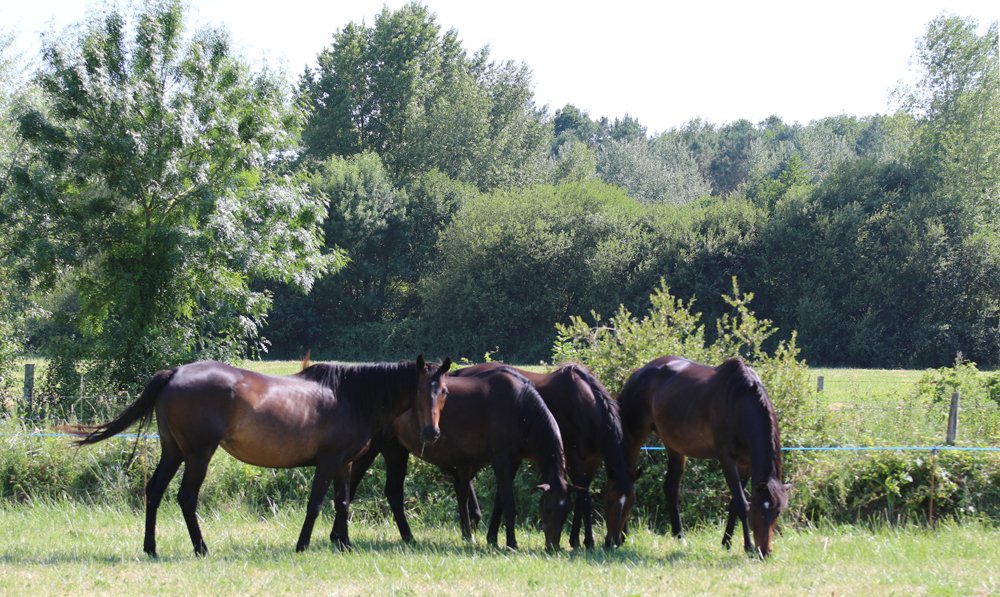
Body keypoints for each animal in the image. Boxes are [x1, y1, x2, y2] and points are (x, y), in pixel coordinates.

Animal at [71, 355, 449, 557]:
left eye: (443, 391)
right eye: (419, 389)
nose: (432, 433)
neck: (350, 395)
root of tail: (175, 373)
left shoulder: (344, 462)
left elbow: (342, 503)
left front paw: (344, 544)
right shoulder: (328, 462)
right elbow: (316, 504)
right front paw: (302, 545)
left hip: (173, 451)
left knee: (155, 491)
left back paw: (150, 548)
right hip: (198, 454)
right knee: (186, 497)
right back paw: (201, 547)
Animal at [348, 366, 572, 551]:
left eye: (565, 511)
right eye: (548, 509)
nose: (553, 547)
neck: (519, 406)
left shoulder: (513, 461)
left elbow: (499, 501)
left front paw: (492, 538)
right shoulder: (501, 459)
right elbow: (508, 503)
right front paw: (511, 543)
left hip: (396, 450)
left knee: (394, 494)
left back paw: (408, 537)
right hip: (375, 449)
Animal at [453, 362, 632, 550]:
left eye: (630, 505)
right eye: (609, 502)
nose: (614, 542)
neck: (583, 403)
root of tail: (460, 372)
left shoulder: (592, 461)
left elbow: (580, 497)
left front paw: (575, 539)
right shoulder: (572, 457)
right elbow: (585, 499)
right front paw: (586, 541)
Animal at [616, 355, 789, 557]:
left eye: (777, 512)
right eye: (760, 511)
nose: (765, 551)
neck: (739, 402)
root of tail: (636, 375)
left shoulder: (746, 464)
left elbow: (734, 503)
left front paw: (726, 542)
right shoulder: (726, 459)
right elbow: (741, 502)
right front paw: (748, 546)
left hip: (675, 447)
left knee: (671, 489)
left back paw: (680, 537)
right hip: (634, 437)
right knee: (628, 480)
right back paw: (623, 536)